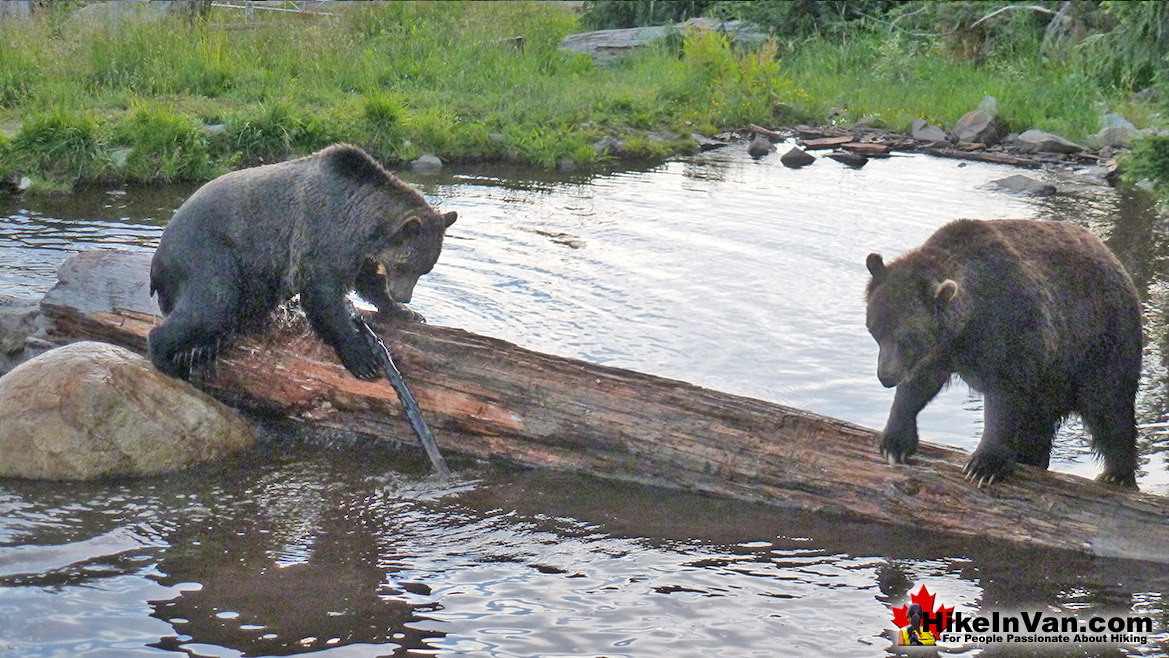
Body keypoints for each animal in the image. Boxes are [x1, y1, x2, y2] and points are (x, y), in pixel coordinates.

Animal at [147, 144, 455, 381]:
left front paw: (406, 312)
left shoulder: (357, 253)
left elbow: (368, 281)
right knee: (212, 304)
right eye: (407, 266)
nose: (405, 295)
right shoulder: (321, 235)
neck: (363, 224)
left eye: (425, 269)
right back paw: (167, 358)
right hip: (209, 255)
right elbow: (323, 295)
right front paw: (362, 357)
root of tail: (157, 260)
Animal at [869, 218, 1140, 486]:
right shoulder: (941, 350)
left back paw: (1117, 474)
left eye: (907, 337)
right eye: (875, 330)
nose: (886, 377)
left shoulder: (1014, 331)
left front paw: (984, 465)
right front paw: (895, 442)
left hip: (1097, 346)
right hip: (1051, 384)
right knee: (1039, 426)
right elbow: (918, 385)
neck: (969, 324)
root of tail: (1115, 260)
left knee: (1109, 409)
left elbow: (1005, 399)